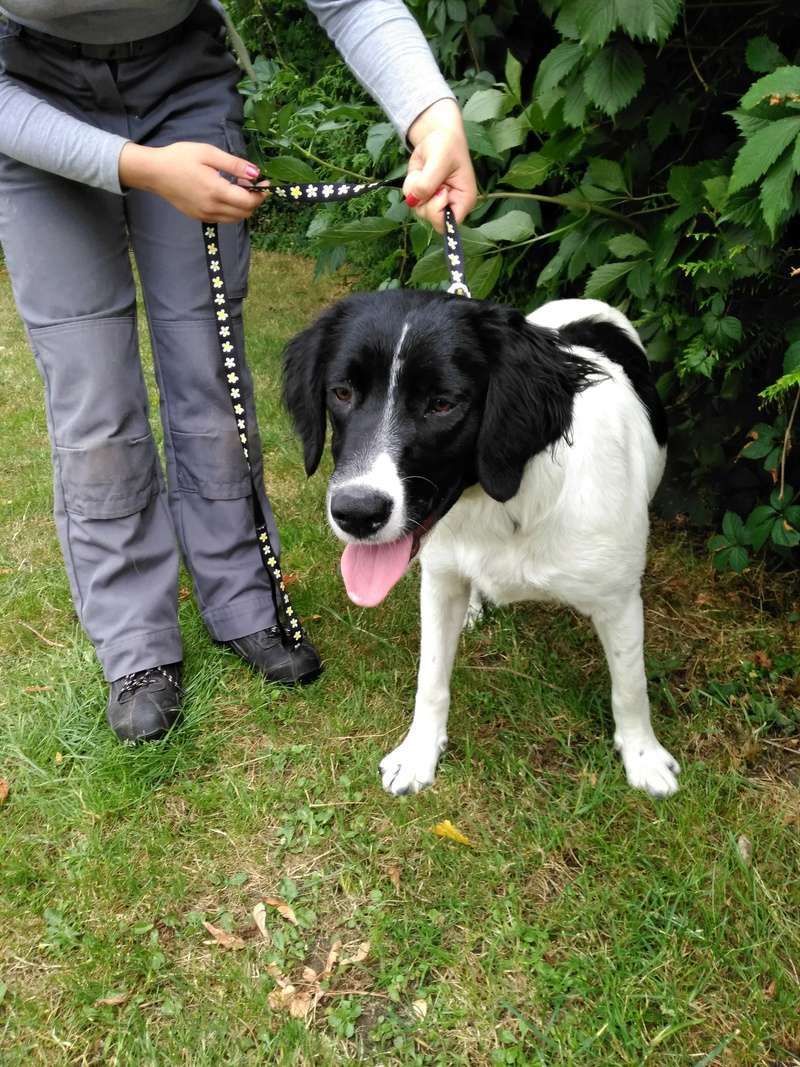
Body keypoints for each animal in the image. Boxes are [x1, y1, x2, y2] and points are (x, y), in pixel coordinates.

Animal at [285, 292, 678, 802]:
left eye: (442, 404)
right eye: (342, 393)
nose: (356, 513)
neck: (507, 504)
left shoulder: (619, 600)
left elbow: (631, 686)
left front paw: (643, 757)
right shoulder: (440, 581)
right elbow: (431, 678)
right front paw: (419, 753)